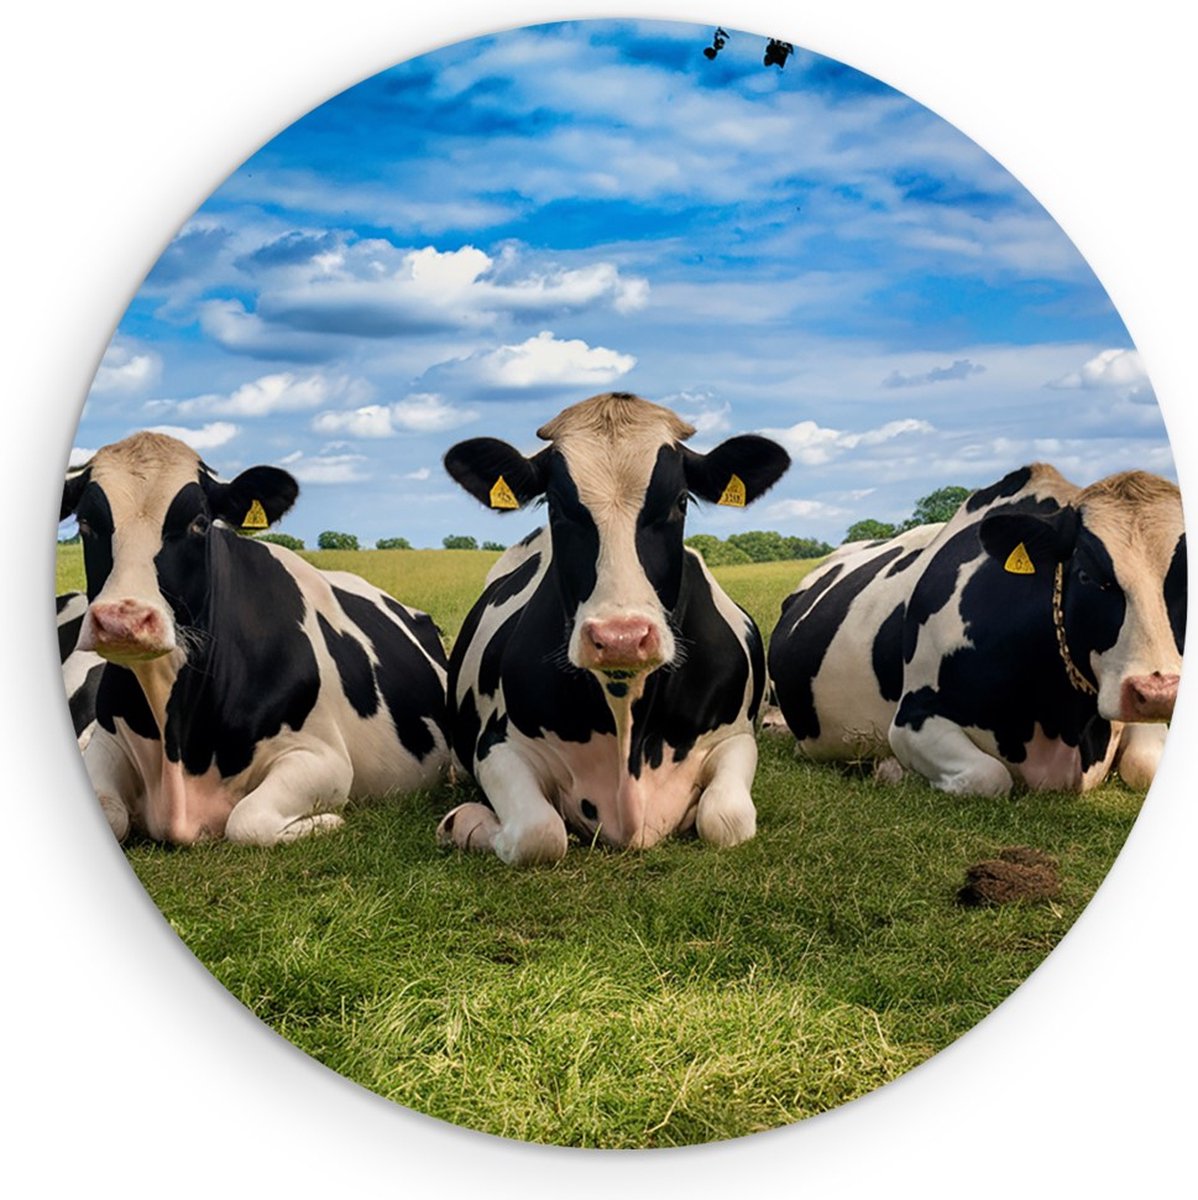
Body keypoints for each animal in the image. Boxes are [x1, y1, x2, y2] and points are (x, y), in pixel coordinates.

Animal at [438, 391, 790, 865]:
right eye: (555, 505)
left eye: (681, 501)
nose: (621, 638)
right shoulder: (496, 744)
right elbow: (538, 833)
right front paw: (465, 821)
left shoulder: (734, 737)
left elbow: (725, 819)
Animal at [769, 463, 1185, 795]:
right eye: (1086, 574)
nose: (1158, 693)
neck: (1062, 721)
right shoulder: (911, 722)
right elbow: (990, 777)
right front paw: (892, 771)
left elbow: (1144, 766)